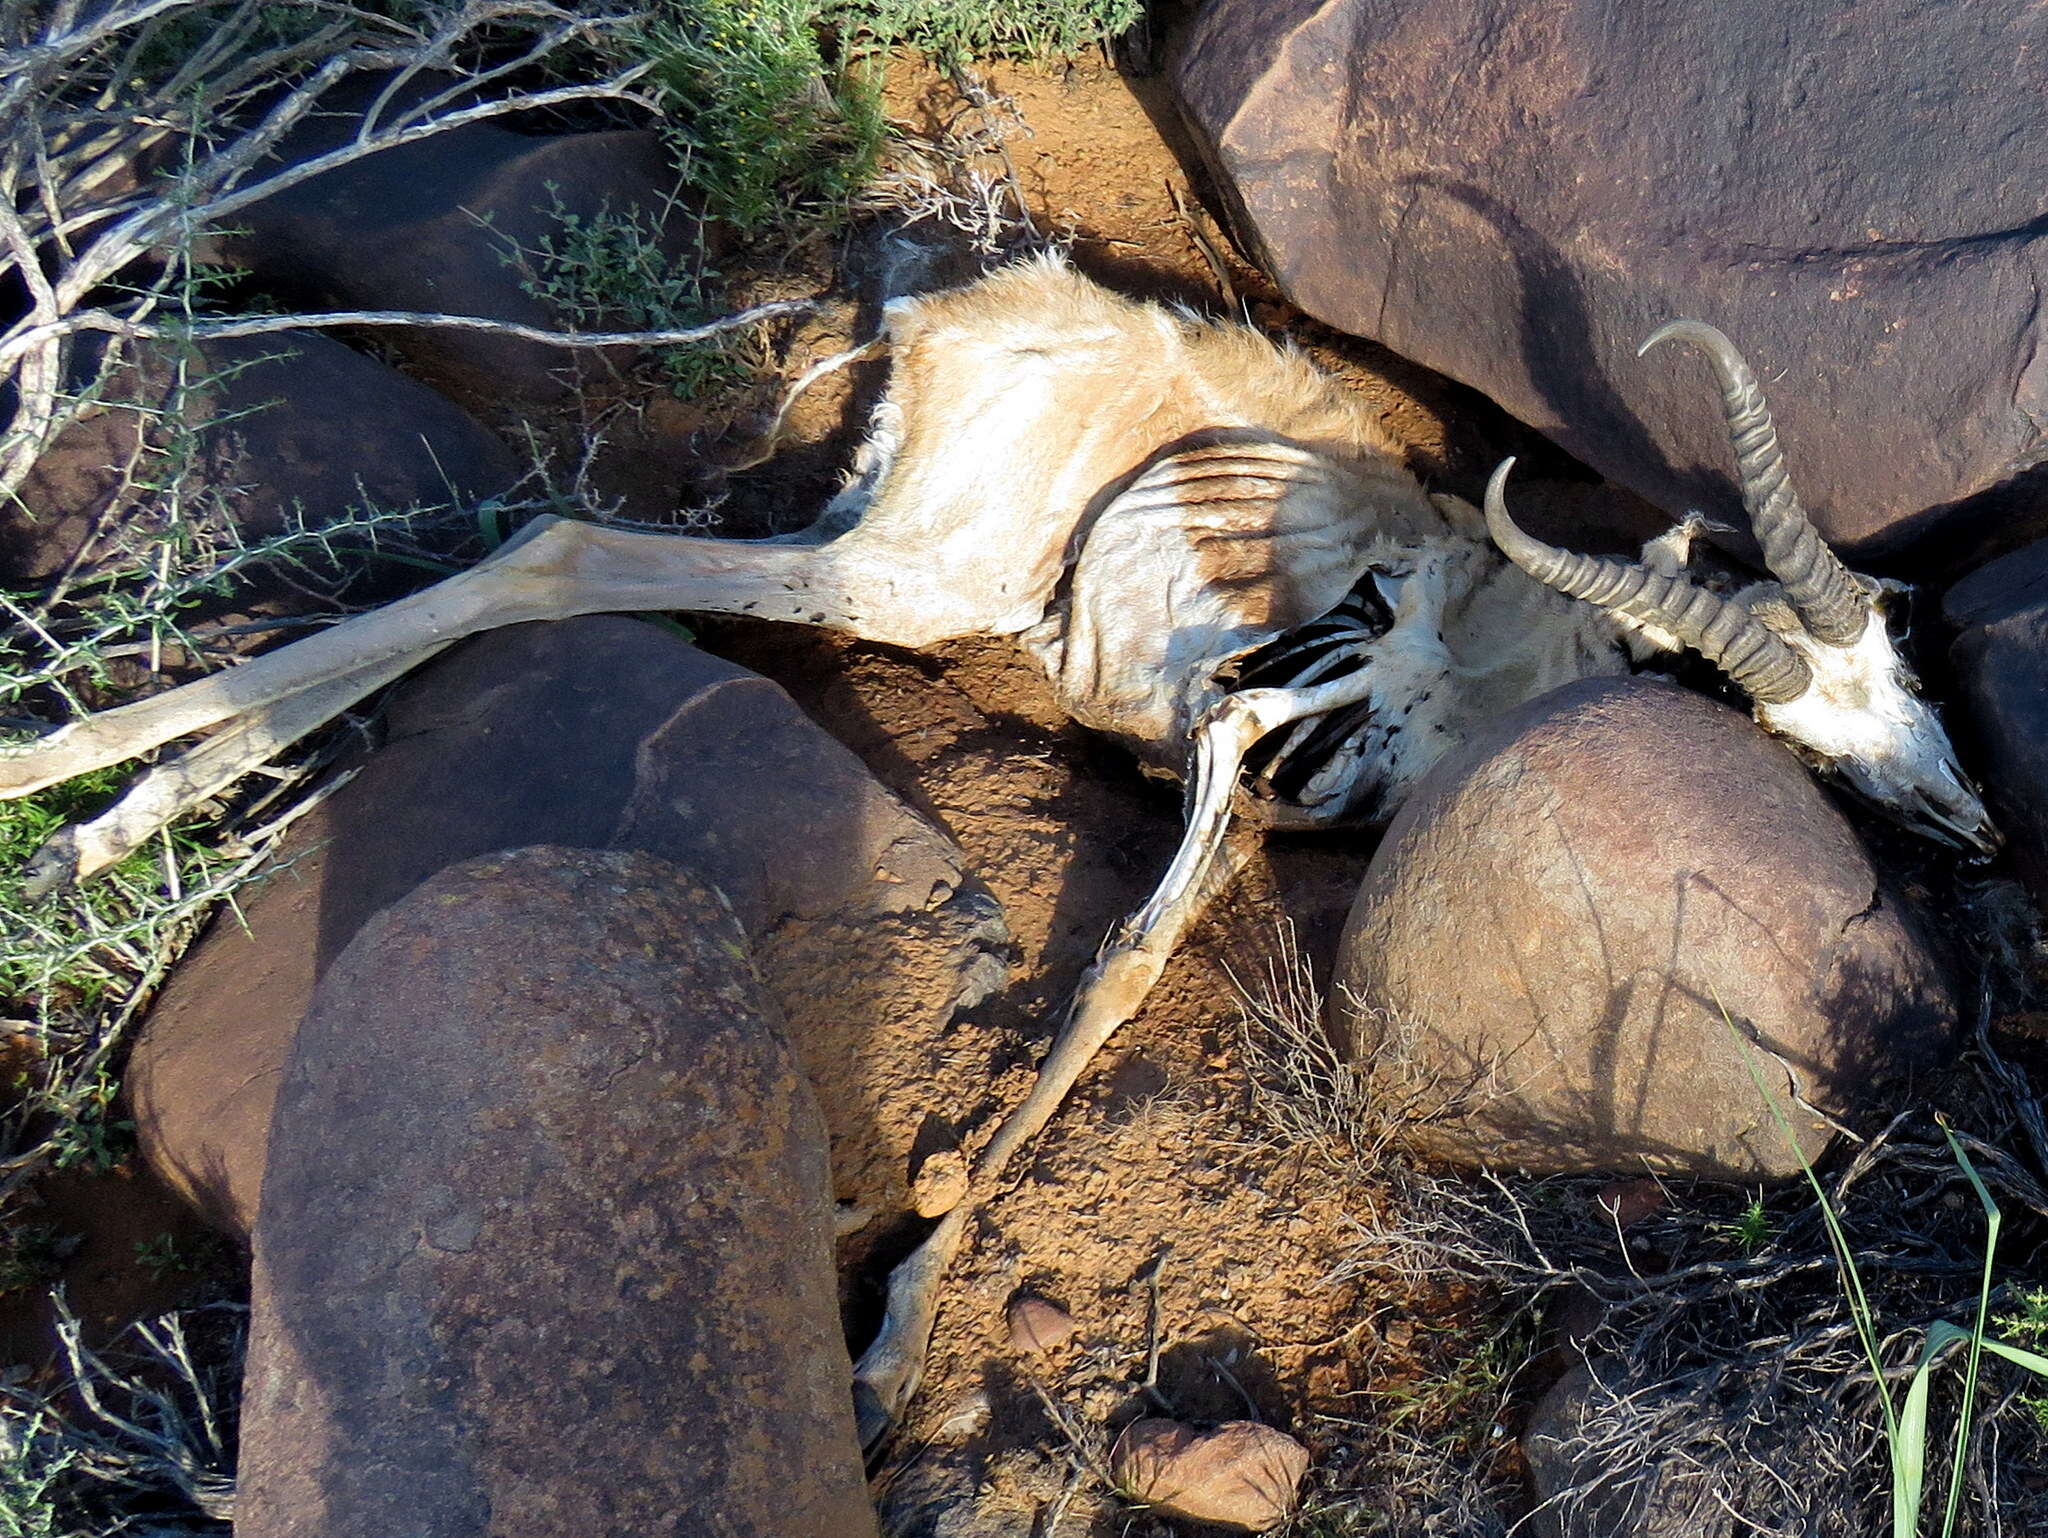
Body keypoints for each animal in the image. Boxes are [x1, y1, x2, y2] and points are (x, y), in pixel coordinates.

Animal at [0, 255, 1990, 1441]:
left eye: (1903, 652)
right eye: (1812, 706)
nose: (1962, 813)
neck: (1510, 644)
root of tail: (947, 305)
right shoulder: (1245, 724)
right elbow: (1117, 971)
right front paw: (888, 1349)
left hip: (899, 573)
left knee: (546, 564)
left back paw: (107, 811)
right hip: (910, 575)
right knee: (560, 547)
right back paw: (77, 785)